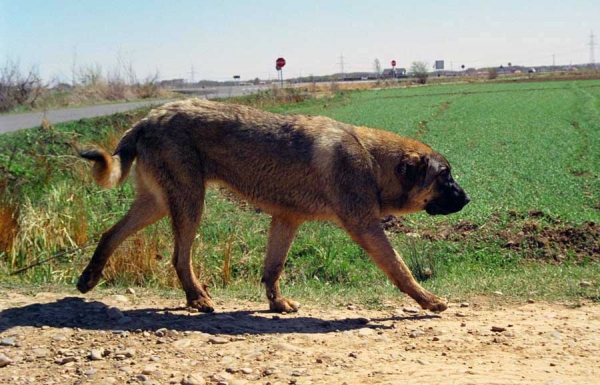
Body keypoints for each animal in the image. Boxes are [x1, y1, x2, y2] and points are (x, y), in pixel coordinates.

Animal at [76, 98, 468, 312]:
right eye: (445, 175)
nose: (467, 198)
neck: (373, 161)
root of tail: (146, 118)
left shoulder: (285, 220)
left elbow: (273, 268)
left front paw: (276, 303)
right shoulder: (366, 226)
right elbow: (400, 268)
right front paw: (428, 300)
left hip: (158, 203)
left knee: (111, 233)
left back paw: (89, 277)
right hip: (189, 203)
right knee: (179, 257)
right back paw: (197, 298)